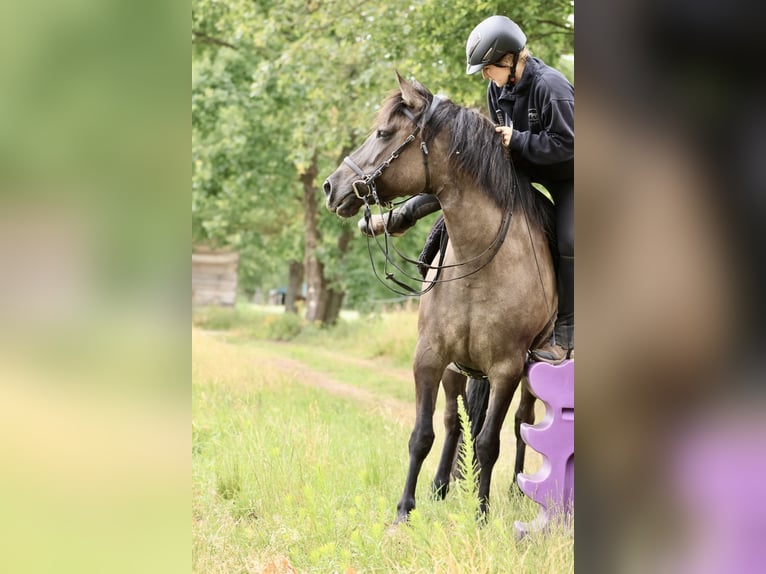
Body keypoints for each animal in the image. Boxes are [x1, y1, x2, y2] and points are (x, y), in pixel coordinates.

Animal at [323, 73, 558, 523]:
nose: (331, 186)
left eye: (383, 133)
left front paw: (481, 516)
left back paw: (516, 489)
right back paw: (440, 487)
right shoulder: (430, 357)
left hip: (532, 371)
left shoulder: (506, 369)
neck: (480, 260)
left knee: (521, 421)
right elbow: (423, 434)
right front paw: (405, 511)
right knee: (453, 421)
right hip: (456, 369)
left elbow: (489, 442)